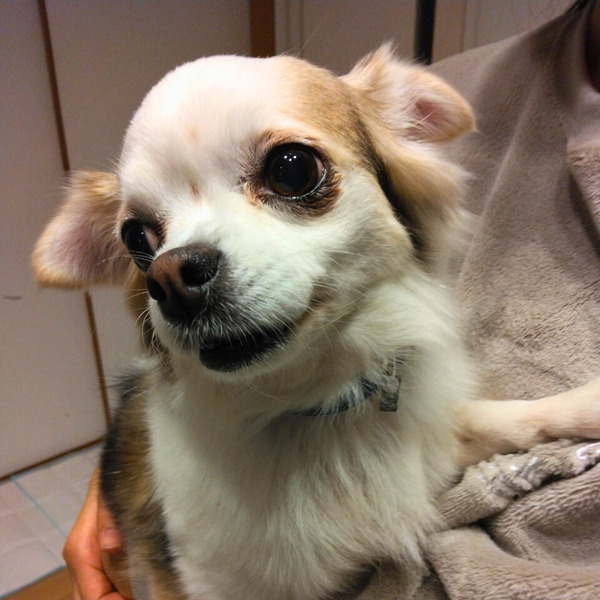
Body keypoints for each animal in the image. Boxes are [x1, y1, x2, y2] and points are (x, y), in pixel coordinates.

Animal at [32, 48, 600, 600]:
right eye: (136, 239)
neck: (315, 405)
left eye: (291, 169)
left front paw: (585, 406)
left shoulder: (435, 443)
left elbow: (510, 418)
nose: (170, 277)